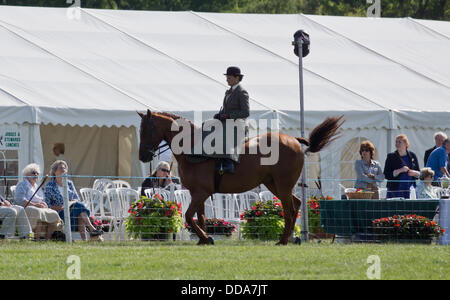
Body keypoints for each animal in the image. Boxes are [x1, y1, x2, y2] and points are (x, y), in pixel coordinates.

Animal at [138, 110, 344, 246]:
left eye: (146, 130)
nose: (143, 156)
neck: (191, 148)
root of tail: (293, 140)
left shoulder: (200, 193)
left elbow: (189, 216)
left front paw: (206, 238)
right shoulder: (199, 194)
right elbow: (200, 217)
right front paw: (204, 239)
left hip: (283, 185)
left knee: (290, 209)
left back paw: (284, 240)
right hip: (274, 184)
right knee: (296, 203)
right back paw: (293, 238)